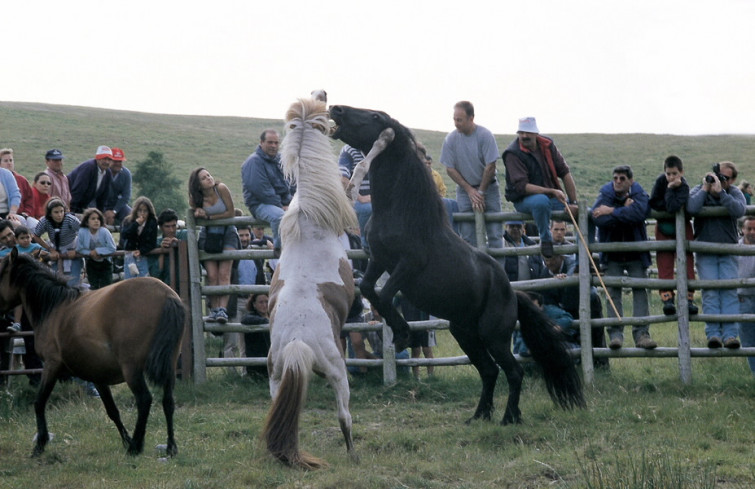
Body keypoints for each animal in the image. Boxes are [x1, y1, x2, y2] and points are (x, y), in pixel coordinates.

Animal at [0, 248, 185, 458]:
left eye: (0, 272)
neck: (54, 307)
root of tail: (167, 295)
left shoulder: (51, 365)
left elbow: (39, 403)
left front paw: (40, 444)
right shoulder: (98, 377)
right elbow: (112, 411)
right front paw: (126, 439)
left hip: (132, 370)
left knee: (144, 400)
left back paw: (136, 447)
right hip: (169, 366)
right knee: (168, 401)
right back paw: (170, 447)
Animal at [262, 96, 360, 468]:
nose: (326, 95)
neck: (309, 216)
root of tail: (296, 343)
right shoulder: (349, 196)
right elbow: (362, 171)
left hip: (276, 378)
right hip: (337, 371)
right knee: (344, 416)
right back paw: (353, 454)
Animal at [330, 104, 584, 424]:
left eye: (375, 117)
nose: (336, 109)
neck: (403, 213)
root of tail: (513, 293)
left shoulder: (408, 265)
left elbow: (385, 295)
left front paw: (402, 336)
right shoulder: (378, 260)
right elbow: (367, 288)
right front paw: (399, 334)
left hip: (493, 336)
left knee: (513, 371)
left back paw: (508, 417)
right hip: (464, 333)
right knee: (489, 371)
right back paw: (480, 416)